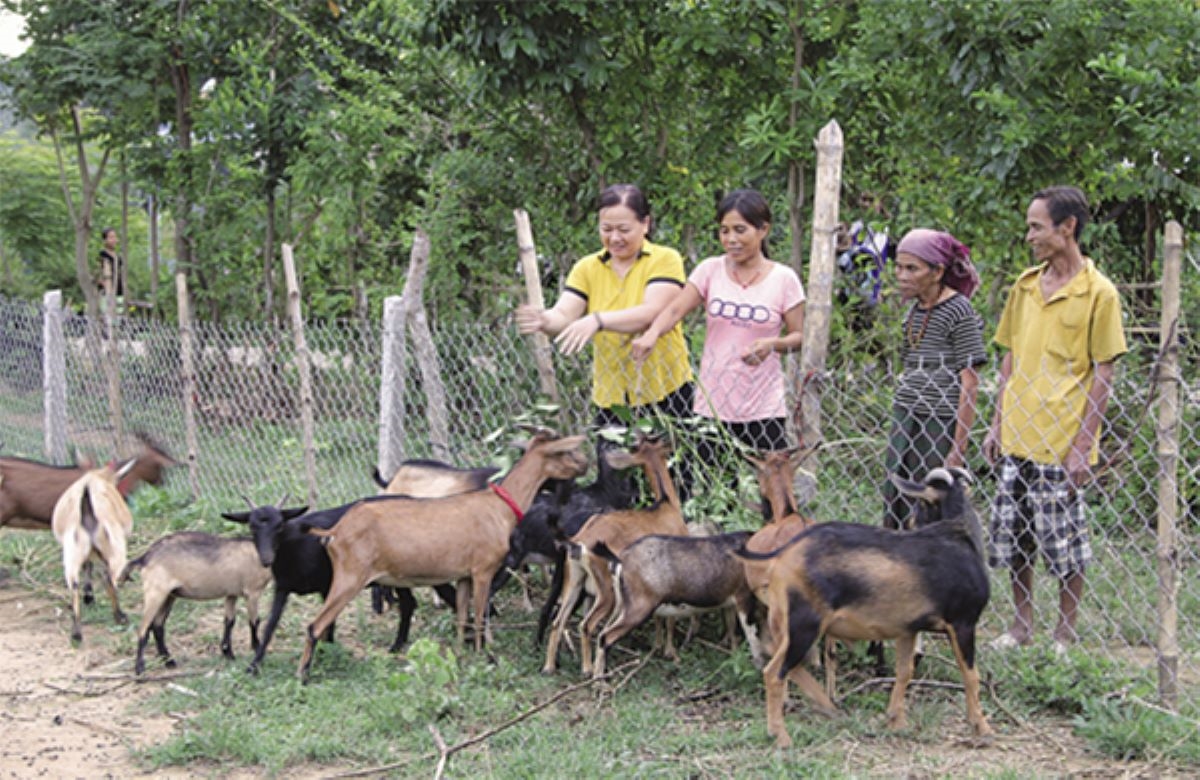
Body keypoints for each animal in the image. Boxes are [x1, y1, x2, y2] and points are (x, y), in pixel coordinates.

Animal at [50, 458, 137, 643]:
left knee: (74, 584)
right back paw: (120, 616)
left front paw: (89, 595)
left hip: (72, 552)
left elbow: (88, 566)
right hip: (115, 548)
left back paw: (76, 632)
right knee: (109, 579)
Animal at [120, 530, 271, 672]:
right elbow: (254, 621)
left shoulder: (231, 593)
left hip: (169, 595)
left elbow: (229, 622)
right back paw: (140, 668)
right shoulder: (252, 592)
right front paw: (257, 649)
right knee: (144, 628)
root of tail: (145, 557)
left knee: (157, 626)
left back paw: (169, 662)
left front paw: (228, 653)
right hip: (155, 592)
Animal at [295, 427, 585, 676]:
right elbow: (479, 615)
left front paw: (459, 653)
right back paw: (304, 674)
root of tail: (336, 530)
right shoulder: (483, 570)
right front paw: (485, 656)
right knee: (314, 625)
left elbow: (461, 616)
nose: (584, 465)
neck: (497, 506)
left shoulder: (464, 575)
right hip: (350, 577)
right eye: (563, 451)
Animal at [542, 432, 686, 672]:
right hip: (606, 591)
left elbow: (659, 615)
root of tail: (579, 541)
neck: (666, 506)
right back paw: (589, 670)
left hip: (574, 581)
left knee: (558, 620)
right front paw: (670, 652)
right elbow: (669, 618)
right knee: (586, 625)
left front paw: (658, 647)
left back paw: (549, 667)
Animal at [739, 465, 993, 744]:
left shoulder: (908, 629)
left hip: (786, 623)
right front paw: (981, 727)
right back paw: (782, 735)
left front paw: (896, 722)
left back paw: (824, 706)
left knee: (779, 658)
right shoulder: (963, 622)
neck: (960, 537)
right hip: (804, 625)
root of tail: (783, 555)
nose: (910, 522)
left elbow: (904, 671)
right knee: (775, 672)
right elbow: (971, 675)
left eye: (920, 506)